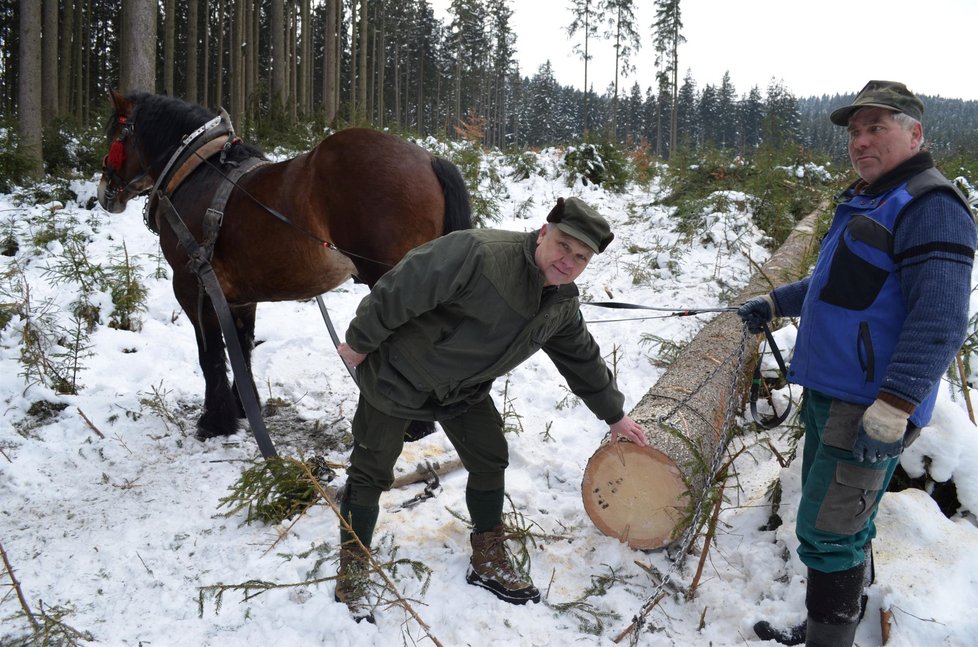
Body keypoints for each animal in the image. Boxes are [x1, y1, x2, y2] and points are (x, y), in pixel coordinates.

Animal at [97, 91, 470, 442]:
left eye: (116, 134)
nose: (104, 191)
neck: (195, 173)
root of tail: (429, 158)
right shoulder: (240, 295)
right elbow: (241, 347)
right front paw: (244, 407)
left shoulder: (191, 285)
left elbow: (211, 353)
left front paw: (214, 421)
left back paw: (412, 427)